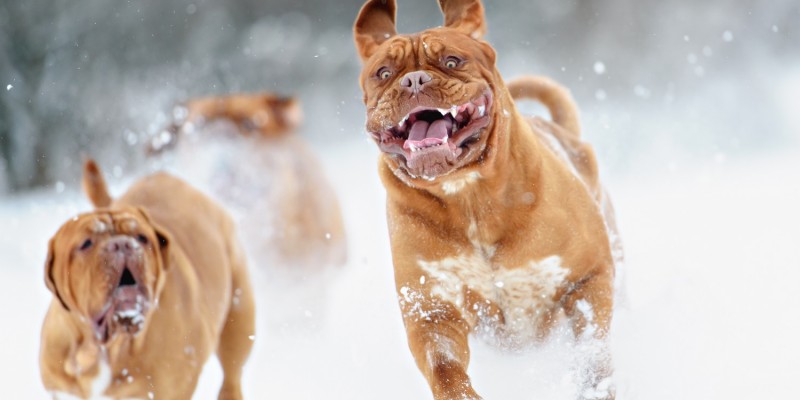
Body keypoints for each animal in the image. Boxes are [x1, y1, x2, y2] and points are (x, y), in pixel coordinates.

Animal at [39, 160, 255, 400]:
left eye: (141, 237)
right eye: (86, 243)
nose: (123, 244)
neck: (105, 349)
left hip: (239, 317)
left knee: (232, 375)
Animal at [354, 0, 620, 400]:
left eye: (451, 61)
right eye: (383, 72)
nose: (413, 80)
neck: (468, 196)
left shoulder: (587, 276)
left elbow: (592, 347)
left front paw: (595, 386)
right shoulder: (431, 309)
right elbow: (444, 366)